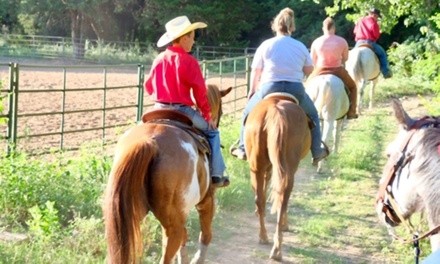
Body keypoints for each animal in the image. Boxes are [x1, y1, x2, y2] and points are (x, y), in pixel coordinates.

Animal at [244, 93, 312, 260]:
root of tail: (276, 110)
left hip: (257, 167)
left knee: (262, 198)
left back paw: (267, 239)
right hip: (285, 168)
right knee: (282, 198)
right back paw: (274, 243)